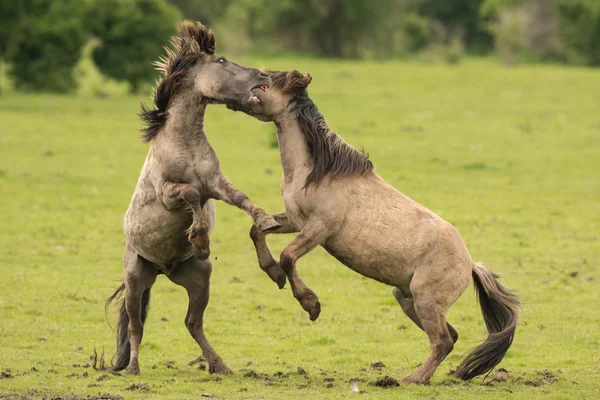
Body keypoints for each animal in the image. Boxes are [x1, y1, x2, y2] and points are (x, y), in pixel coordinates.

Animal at [104, 21, 282, 376]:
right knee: (135, 326)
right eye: (222, 61)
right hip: (135, 280)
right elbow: (190, 194)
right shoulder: (168, 193)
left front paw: (266, 219)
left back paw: (220, 365)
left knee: (192, 323)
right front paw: (199, 238)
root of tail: (163, 269)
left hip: (199, 280)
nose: (264, 75)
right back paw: (132, 368)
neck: (184, 142)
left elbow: (239, 198)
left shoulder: (216, 183)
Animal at [234, 69, 520, 384]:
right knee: (450, 337)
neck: (318, 172)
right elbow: (257, 231)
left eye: (265, 82)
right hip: (407, 298)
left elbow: (287, 257)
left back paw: (413, 379)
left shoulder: (319, 228)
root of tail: (470, 265)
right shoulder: (293, 219)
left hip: (426, 300)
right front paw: (273, 273)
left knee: (443, 341)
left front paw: (310, 304)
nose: (236, 96)